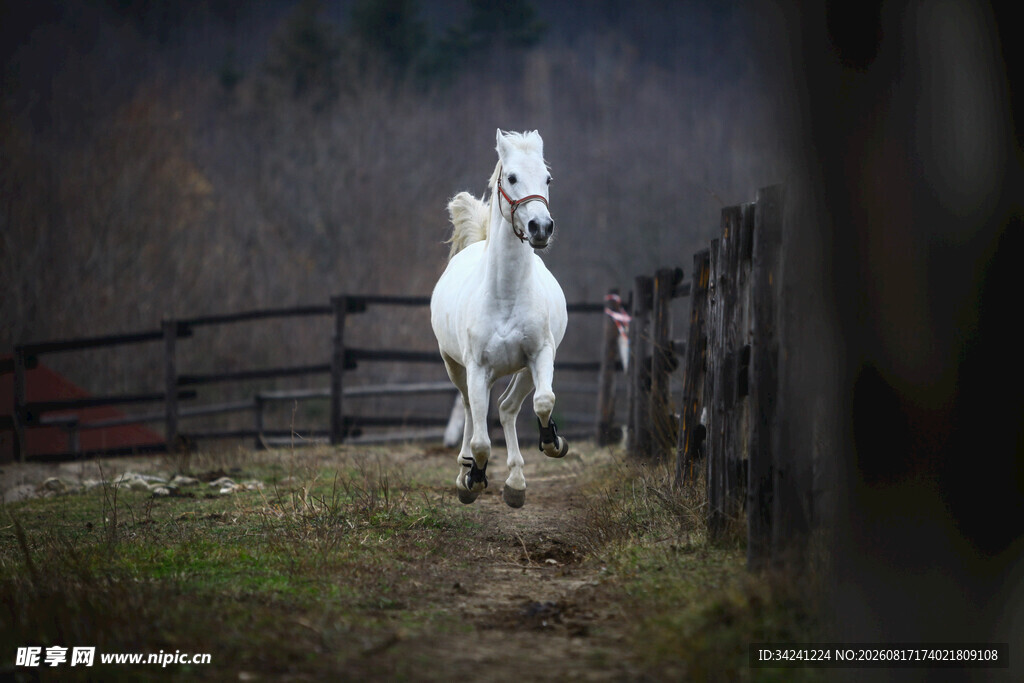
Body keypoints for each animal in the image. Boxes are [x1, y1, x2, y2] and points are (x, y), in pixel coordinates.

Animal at [430, 129, 569, 508]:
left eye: (548, 179)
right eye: (511, 178)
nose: (541, 227)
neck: (505, 294)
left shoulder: (540, 355)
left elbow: (544, 401)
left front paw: (553, 442)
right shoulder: (477, 369)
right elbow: (480, 440)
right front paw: (474, 479)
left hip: (523, 371)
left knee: (508, 408)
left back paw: (516, 482)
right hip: (457, 368)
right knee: (469, 410)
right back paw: (465, 472)